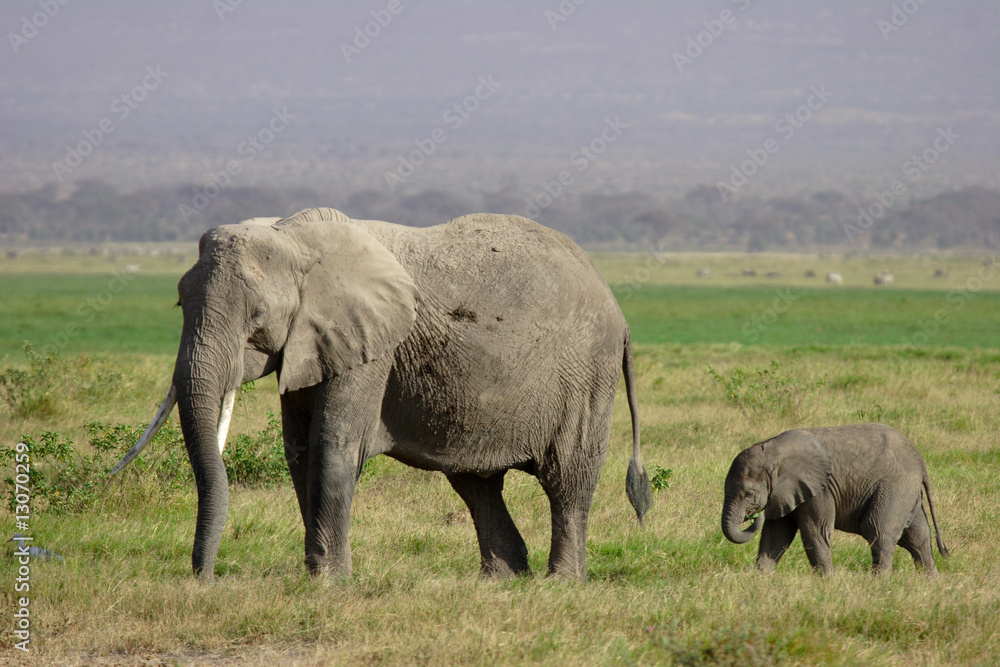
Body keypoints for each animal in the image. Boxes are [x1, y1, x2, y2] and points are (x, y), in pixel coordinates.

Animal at [115, 207, 648, 580]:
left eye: (257, 317)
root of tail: (617, 307)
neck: (291, 234)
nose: (204, 578)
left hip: (586, 374)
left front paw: (328, 583)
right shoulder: (313, 343)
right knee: (476, 484)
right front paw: (319, 575)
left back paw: (560, 582)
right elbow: (300, 451)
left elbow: (333, 447)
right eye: (179, 303)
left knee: (568, 480)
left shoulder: (372, 344)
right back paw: (504, 580)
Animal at [724, 422, 948, 576]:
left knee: (877, 530)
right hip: (907, 491)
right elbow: (776, 534)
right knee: (918, 537)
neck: (775, 449)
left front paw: (826, 582)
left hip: (895, 486)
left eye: (748, 494)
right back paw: (931, 583)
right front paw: (760, 578)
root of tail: (920, 461)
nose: (753, 516)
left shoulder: (820, 489)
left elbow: (816, 532)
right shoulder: (784, 492)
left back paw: (879, 585)